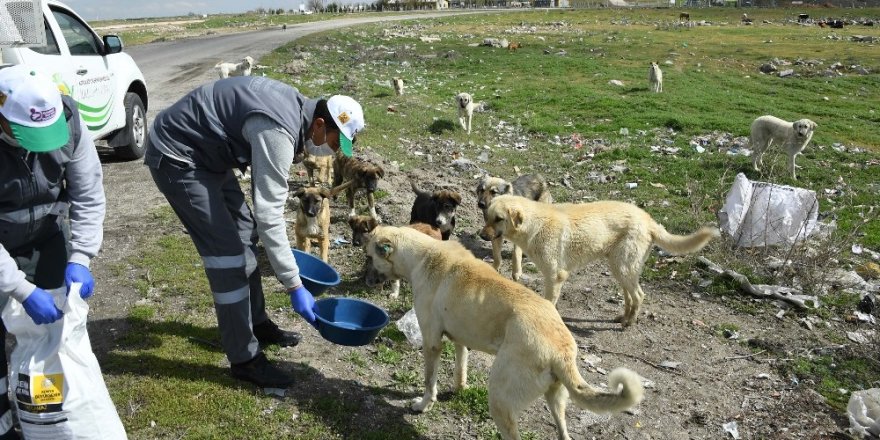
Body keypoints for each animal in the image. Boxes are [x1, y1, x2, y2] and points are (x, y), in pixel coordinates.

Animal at [364, 227, 648, 440]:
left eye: (368, 257)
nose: (366, 281)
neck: (422, 254)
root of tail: (560, 349)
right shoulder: (459, 340)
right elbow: (460, 368)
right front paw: (458, 388)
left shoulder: (432, 342)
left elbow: (429, 383)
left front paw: (423, 405)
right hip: (556, 399)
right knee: (563, 433)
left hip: (500, 399)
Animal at [482, 196, 720, 326]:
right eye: (486, 217)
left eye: (499, 219)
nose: (481, 235)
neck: (534, 224)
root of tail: (649, 220)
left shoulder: (555, 277)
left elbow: (549, 303)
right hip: (620, 268)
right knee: (629, 297)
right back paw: (622, 318)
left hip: (623, 267)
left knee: (639, 295)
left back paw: (629, 323)